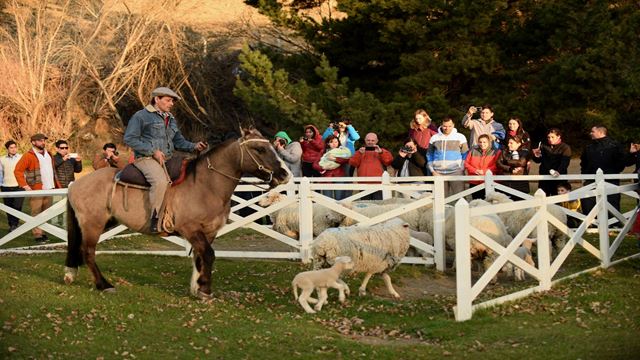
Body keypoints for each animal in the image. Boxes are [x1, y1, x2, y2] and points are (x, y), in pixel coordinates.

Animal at [61, 127, 292, 298]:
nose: (284, 175)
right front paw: (205, 289)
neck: (205, 185)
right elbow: (208, 255)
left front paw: (197, 287)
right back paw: (104, 284)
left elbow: (200, 257)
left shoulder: (209, 232)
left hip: (106, 222)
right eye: (259, 149)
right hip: (93, 224)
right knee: (88, 252)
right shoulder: (190, 229)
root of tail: (75, 184)